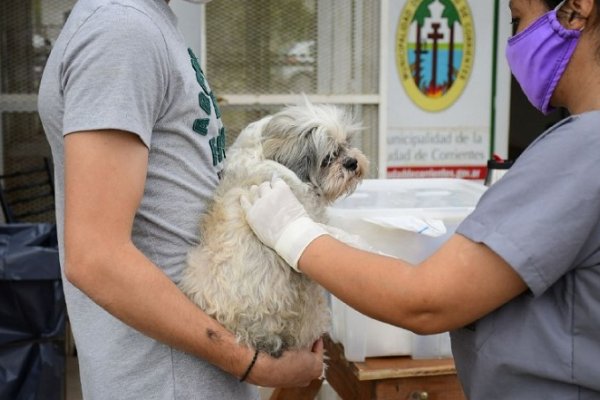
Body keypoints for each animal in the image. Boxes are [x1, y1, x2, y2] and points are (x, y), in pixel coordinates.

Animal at [178, 99, 368, 356]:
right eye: (328, 158)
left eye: (347, 143)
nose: (352, 162)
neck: (263, 152)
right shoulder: (309, 215)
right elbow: (328, 234)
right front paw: (361, 243)